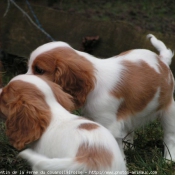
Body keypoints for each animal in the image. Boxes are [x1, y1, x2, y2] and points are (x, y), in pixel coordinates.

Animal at [26, 34, 175, 161]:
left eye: (39, 70)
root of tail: (162, 60)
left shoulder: (109, 124)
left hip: (169, 111)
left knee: (170, 136)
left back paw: (169, 159)